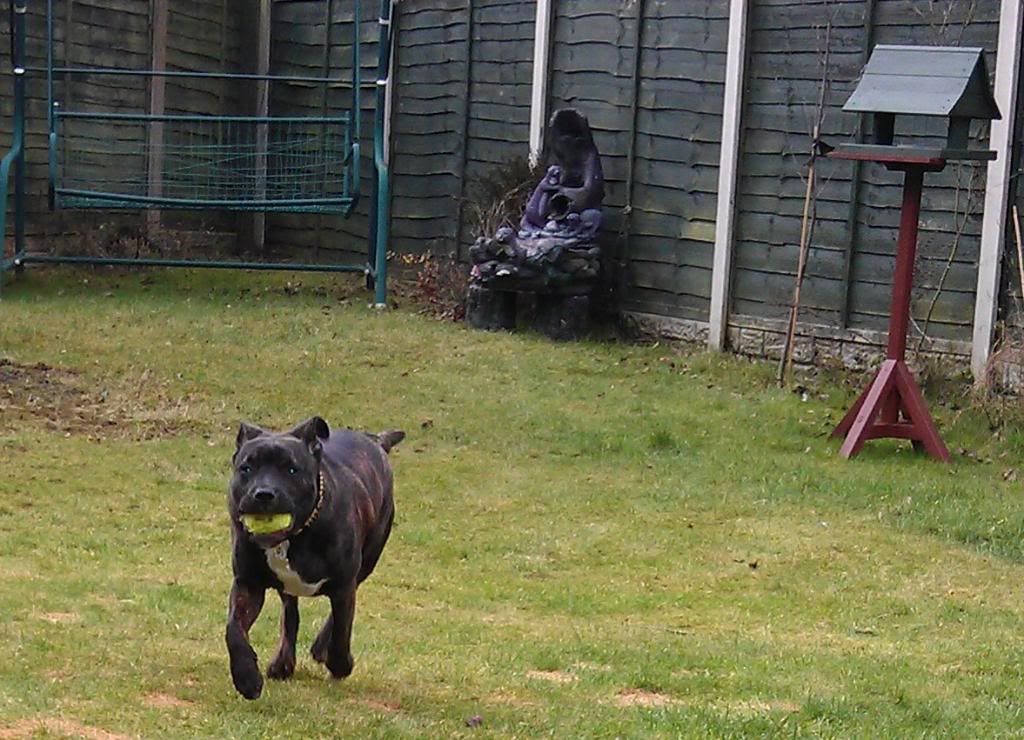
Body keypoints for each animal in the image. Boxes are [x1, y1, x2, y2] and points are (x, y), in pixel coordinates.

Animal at [226, 417, 401, 700]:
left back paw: (320, 650)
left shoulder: (343, 584)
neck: (293, 537)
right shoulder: (247, 583)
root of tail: (374, 439)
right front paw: (246, 678)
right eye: (246, 468)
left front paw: (340, 664)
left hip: (367, 561)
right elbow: (233, 629)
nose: (263, 493)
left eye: (292, 470)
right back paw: (283, 663)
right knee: (290, 615)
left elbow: (342, 629)